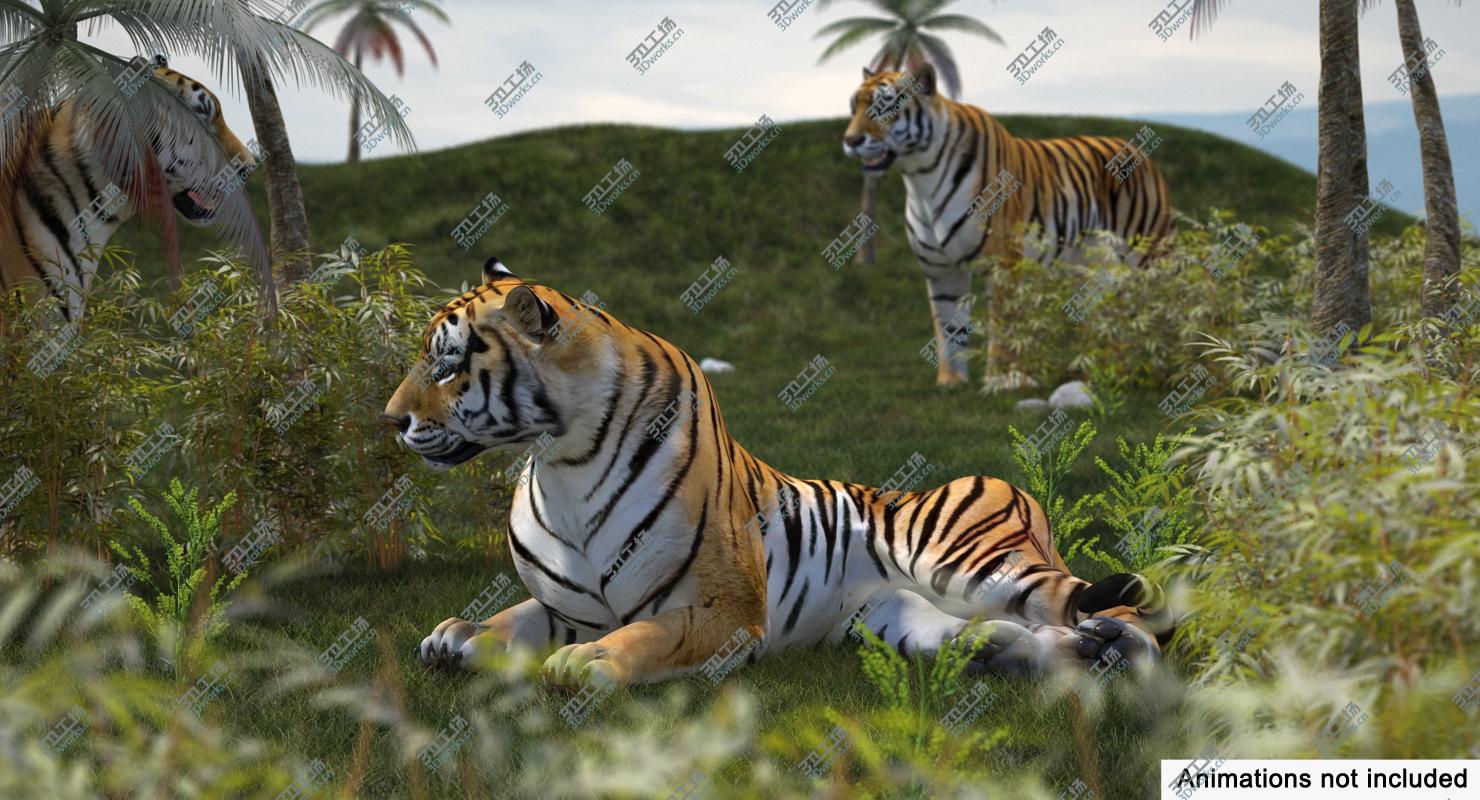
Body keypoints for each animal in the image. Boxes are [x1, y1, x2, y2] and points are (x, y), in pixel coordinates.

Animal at [393, 257, 1171, 688]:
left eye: (448, 362)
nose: (390, 418)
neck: (563, 461)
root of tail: (1014, 486)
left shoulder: (727, 610)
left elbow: (649, 636)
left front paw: (586, 665)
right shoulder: (569, 605)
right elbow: (513, 618)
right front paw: (454, 636)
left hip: (969, 560)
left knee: (1127, 609)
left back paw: (1120, 649)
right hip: (904, 615)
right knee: (1024, 634)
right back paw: (1010, 656)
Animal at [842, 63, 1175, 386]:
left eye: (885, 105)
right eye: (853, 107)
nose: (851, 141)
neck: (920, 177)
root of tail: (1141, 153)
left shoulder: (1002, 262)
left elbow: (1002, 326)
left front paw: (1001, 380)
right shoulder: (941, 270)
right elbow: (948, 330)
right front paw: (951, 382)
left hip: (1146, 255)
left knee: (1164, 310)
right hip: (1089, 268)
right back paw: (1105, 368)